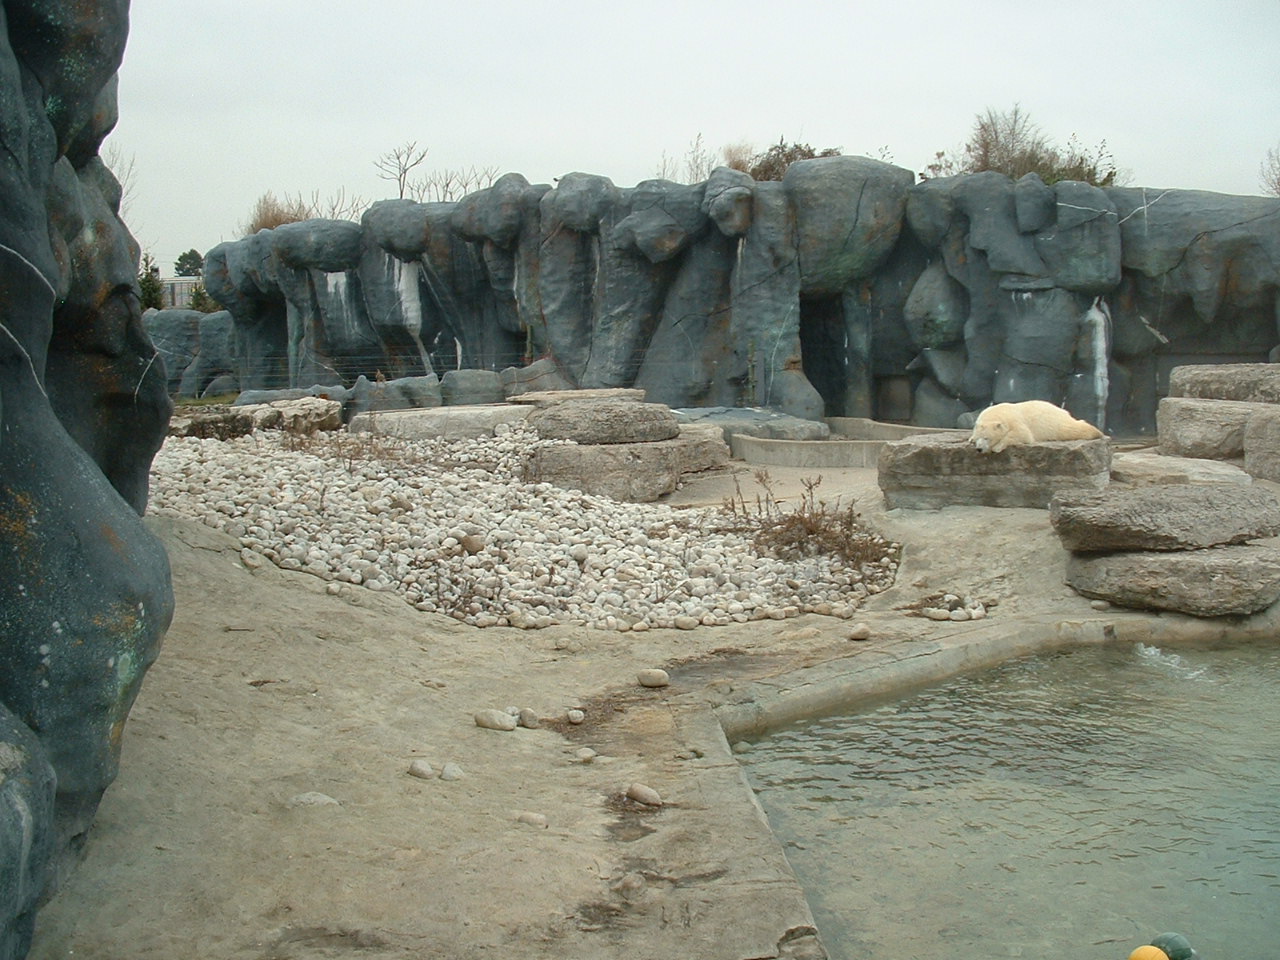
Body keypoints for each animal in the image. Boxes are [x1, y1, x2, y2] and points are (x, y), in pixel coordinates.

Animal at [969, 400, 1104, 453]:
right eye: (978, 438)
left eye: (987, 438)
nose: (979, 449)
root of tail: (1063, 411)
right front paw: (970, 439)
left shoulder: (1016, 421)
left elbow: (1022, 434)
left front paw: (997, 447)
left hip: (1054, 423)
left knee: (1072, 429)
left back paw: (1097, 432)